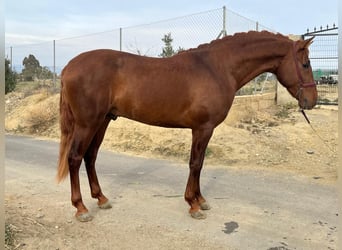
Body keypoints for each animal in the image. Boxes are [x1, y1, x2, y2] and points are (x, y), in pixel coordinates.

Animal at [56, 30, 318, 221]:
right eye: (305, 64)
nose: (312, 101)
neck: (217, 68)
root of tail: (68, 66)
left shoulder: (204, 130)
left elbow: (199, 164)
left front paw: (200, 200)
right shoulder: (203, 128)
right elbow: (195, 164)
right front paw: (193, 204)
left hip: (102, 122)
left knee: (90, 157)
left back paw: (101, 199)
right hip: (87, 123)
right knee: (75, 158)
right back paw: (81, 209)